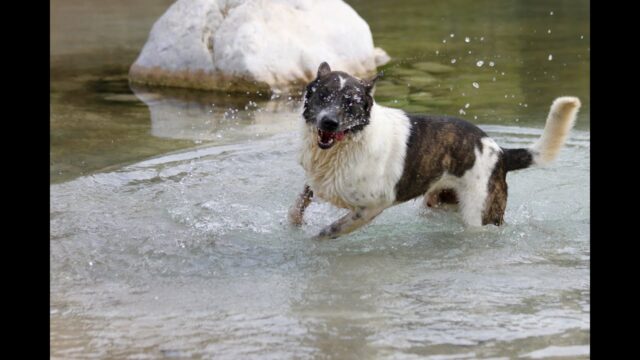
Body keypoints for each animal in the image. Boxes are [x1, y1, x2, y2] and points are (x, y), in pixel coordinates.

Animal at [290, 62, 580, 239]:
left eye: (351, 103)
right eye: (323, 95)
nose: (329, 122)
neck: (350, 142)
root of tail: (500, 152)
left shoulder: (374, 204)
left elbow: (333, 228)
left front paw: (316, 240)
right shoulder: (315, 181)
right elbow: (297, 207)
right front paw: (294, 227)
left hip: (479, 213)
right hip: (438, 202)